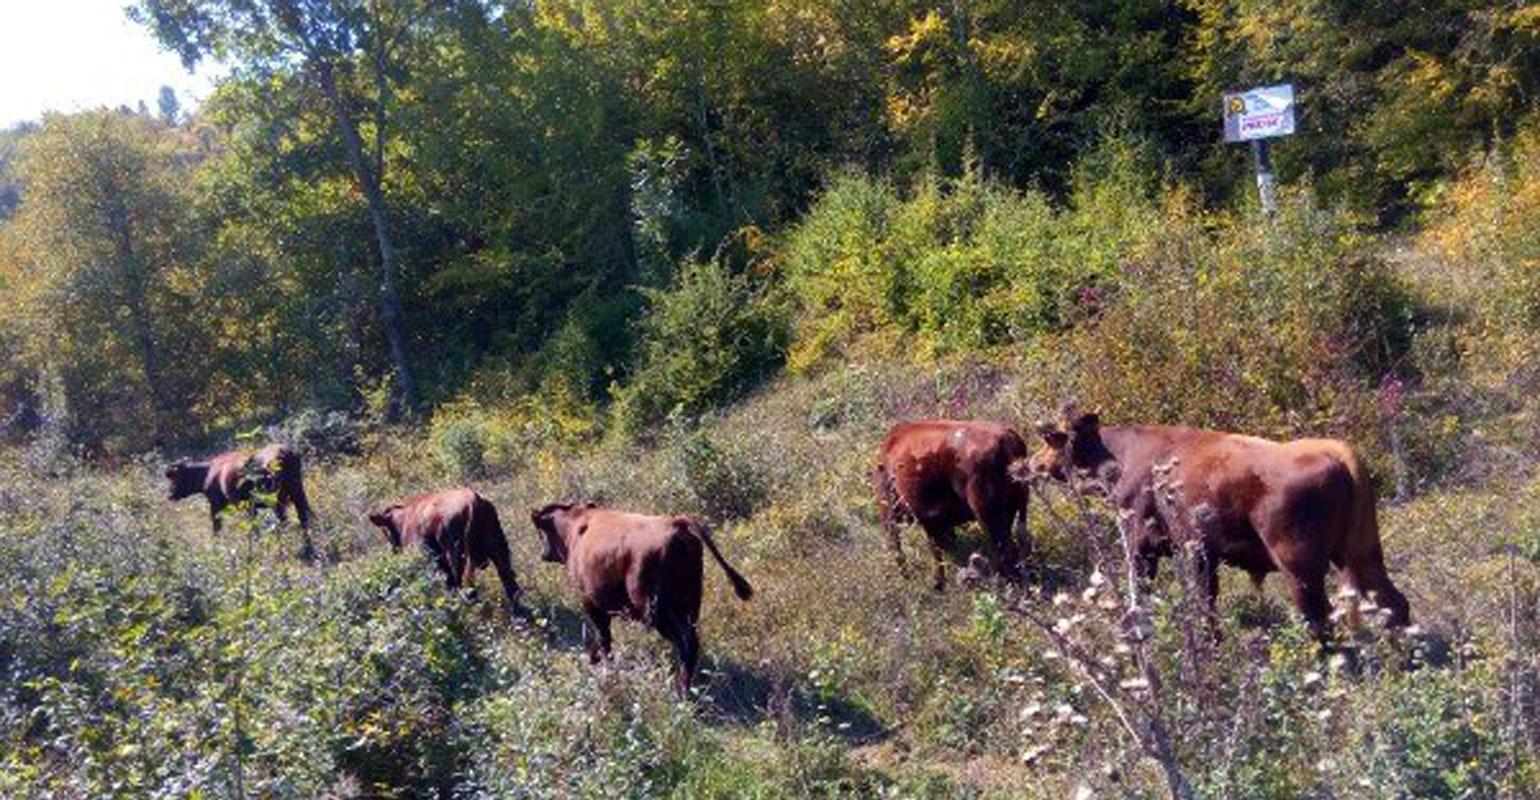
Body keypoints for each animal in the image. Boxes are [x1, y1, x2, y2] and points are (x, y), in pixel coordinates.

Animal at [167, 443, 314, 539]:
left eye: (175, 478)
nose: (170, 495)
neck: (208, 472)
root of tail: (285, 453)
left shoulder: (216, 505)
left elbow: (216, 526)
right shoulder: (250, 507)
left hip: (277, 501)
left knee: (285, 520)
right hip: (298, 492)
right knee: (305, 516)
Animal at [368, 487, 529, 619]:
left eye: (386, 531)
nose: (394, 550)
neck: (405, 519)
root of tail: (474, 499)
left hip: (457, 556)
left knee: (465, 587)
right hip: (499, 550)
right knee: (510, 584)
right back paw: (519, 616)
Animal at [526, 505, 754, 696]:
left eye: (540, 532)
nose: (543, 554)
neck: (577, 525)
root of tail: (677, 523)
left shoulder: (591, 601)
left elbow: (602, 635)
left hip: (657, 612)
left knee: (685, 643)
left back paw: (682, 690)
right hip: (691, 606)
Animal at [874, 422, 1028, 591]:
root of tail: (1008, 438)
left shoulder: (919, 516)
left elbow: (932, 551)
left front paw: (935, 584)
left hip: (987, 516)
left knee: (1007, 553)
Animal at [1034, 406, 1410, 638]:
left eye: (1050, 441)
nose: (1033, 462)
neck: (1122, 457)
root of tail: (1335, 450)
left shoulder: (1142, 544)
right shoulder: (1202, 555)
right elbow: (1207, 605)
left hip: (1299, 566)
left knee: (1320, 619)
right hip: (1361, 554)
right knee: (1393, 603)